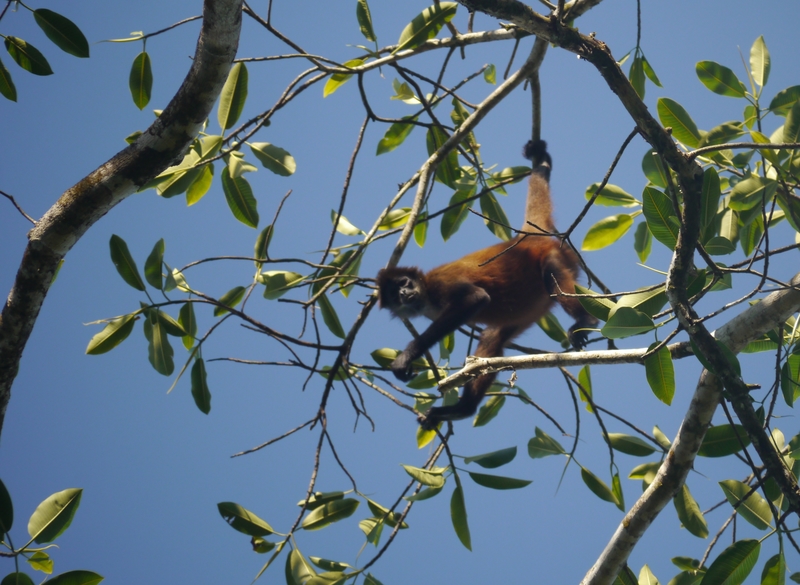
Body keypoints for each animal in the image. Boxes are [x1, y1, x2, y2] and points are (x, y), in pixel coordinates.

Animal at [378, 139, 596, 426]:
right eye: (394, 295)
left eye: (404, 282)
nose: (404, 293)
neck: (425, 296)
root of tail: (527, 240)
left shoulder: (440, 283)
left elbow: (475, 298)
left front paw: (405, 357)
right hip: (530, 307)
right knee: (493, 338)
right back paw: (463, 409)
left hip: (555, 257)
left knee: (550, 273)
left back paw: (586, 320)